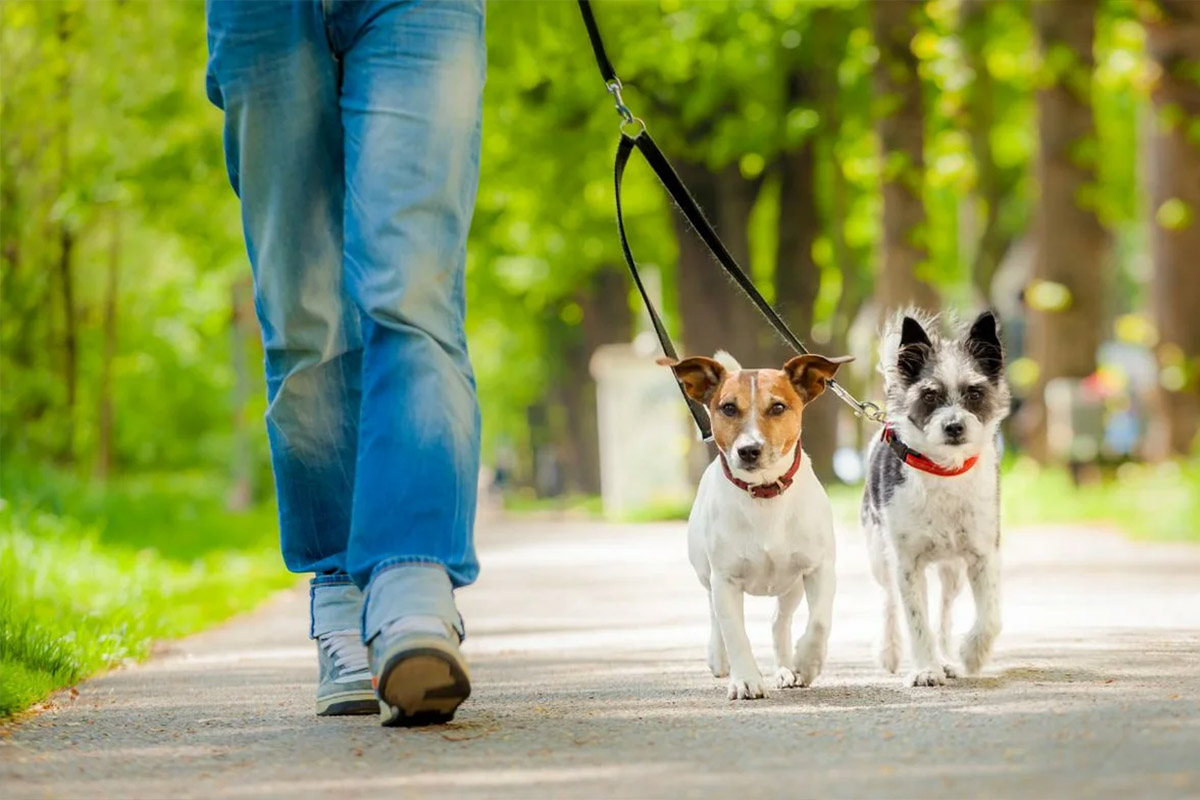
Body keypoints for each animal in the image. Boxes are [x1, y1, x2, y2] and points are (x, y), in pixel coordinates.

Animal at [667, 352, 854, 700]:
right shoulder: (725, 580)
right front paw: (745, 680)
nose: (748, 450)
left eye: (778, 407)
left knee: (779, 622)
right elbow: (735, 633)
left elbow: (820, 621)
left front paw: (807, 662)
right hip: (705, 572)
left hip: (791, 586)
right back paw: (719, 657)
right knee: (714, 614)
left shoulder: (819, 569)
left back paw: (786, 669)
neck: (765, 493)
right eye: (728, 408)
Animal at [864, 309, 1012, 686]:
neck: (944, 471)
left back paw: (946, 657)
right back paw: (890, 651)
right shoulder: (906, 564)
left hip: (952, 571)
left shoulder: (983, 555)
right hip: (879, 554)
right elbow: (916, 620)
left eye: (974, 392)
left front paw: (971, 655)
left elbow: (991, 616)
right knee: (889, 600)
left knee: (944, 612)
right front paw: (925, 670)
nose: (954, 426)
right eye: (930, 395)